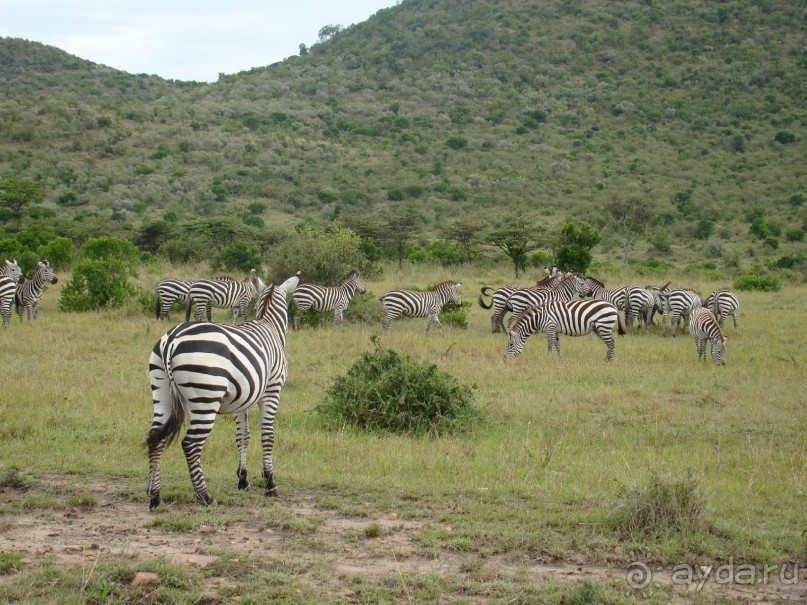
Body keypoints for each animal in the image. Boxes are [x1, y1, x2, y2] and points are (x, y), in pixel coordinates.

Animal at [145, 272, 300, 508]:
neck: (269, 324)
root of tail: (171, 340)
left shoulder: (244, 397)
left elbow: (243, 436)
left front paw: (243, 480)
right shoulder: (272, 391)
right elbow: (267, 435)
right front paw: (270, 483)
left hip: (161, 391)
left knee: (156, 438)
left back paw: (155, 496)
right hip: (206, 396)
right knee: (190, 444)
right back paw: (205, 496)